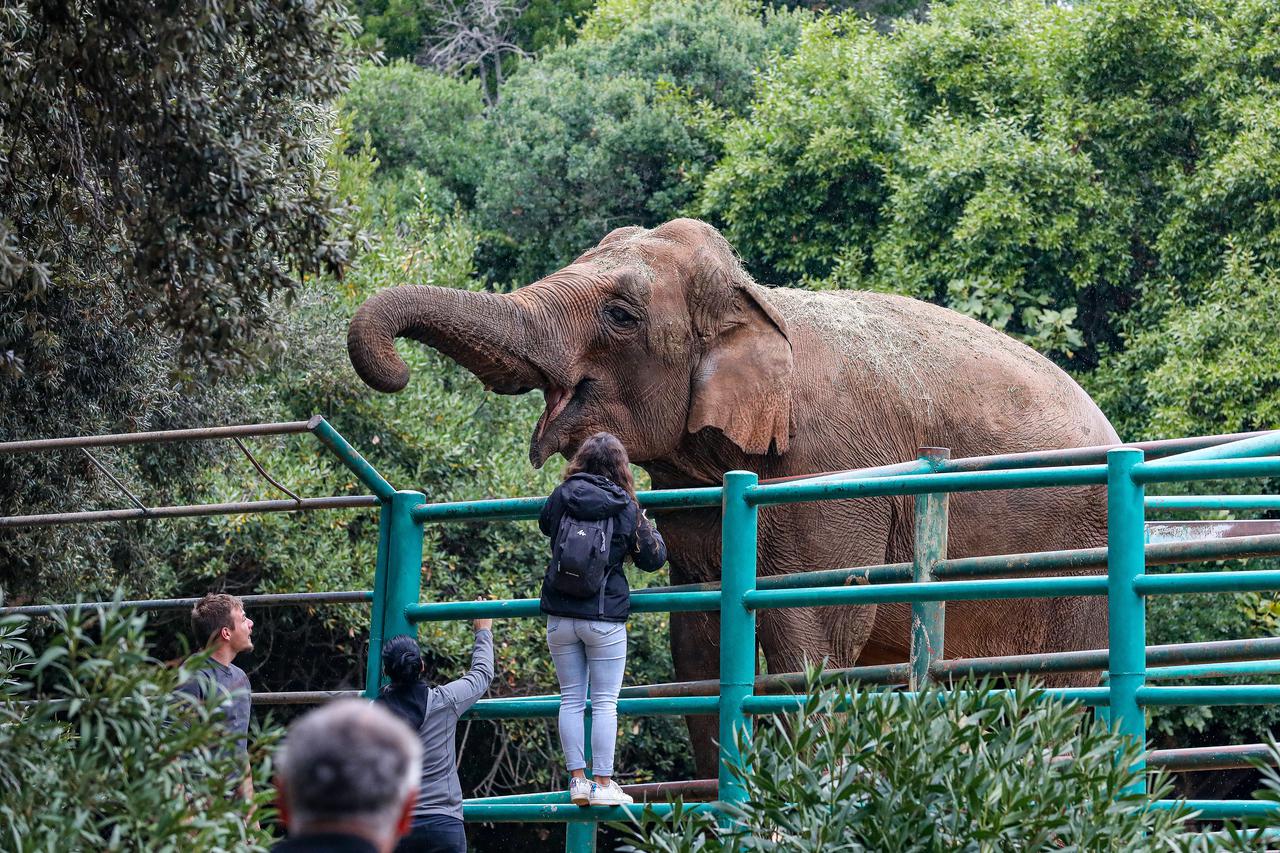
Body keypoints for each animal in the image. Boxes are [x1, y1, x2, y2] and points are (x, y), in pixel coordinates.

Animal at [345, 216, 1116, 773]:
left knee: (1070, 686)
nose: (396, 370)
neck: (754, 299)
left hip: (1081, 562)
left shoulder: (835, 472)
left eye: (621, 315)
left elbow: (815, 637)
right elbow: (698, 640)